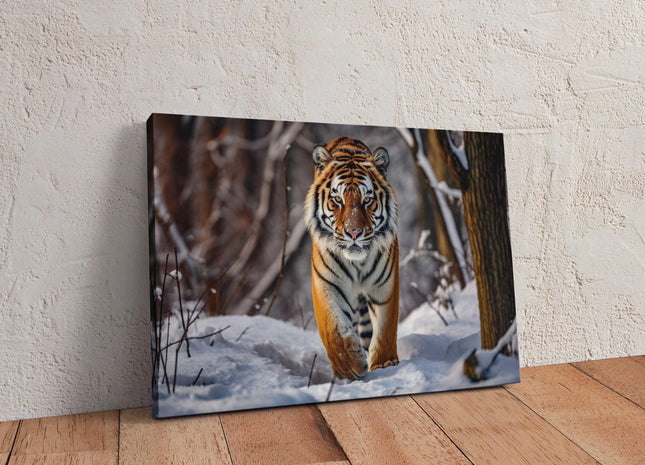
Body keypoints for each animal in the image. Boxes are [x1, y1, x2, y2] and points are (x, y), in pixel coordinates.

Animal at [304, 137, 400, 381]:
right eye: (337, 200)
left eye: (367, 200)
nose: (353, 232)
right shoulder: (327, 284)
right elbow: (333, 328)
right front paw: (349, 365)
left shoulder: (384, 286)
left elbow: (385, 328)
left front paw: (385, 363)